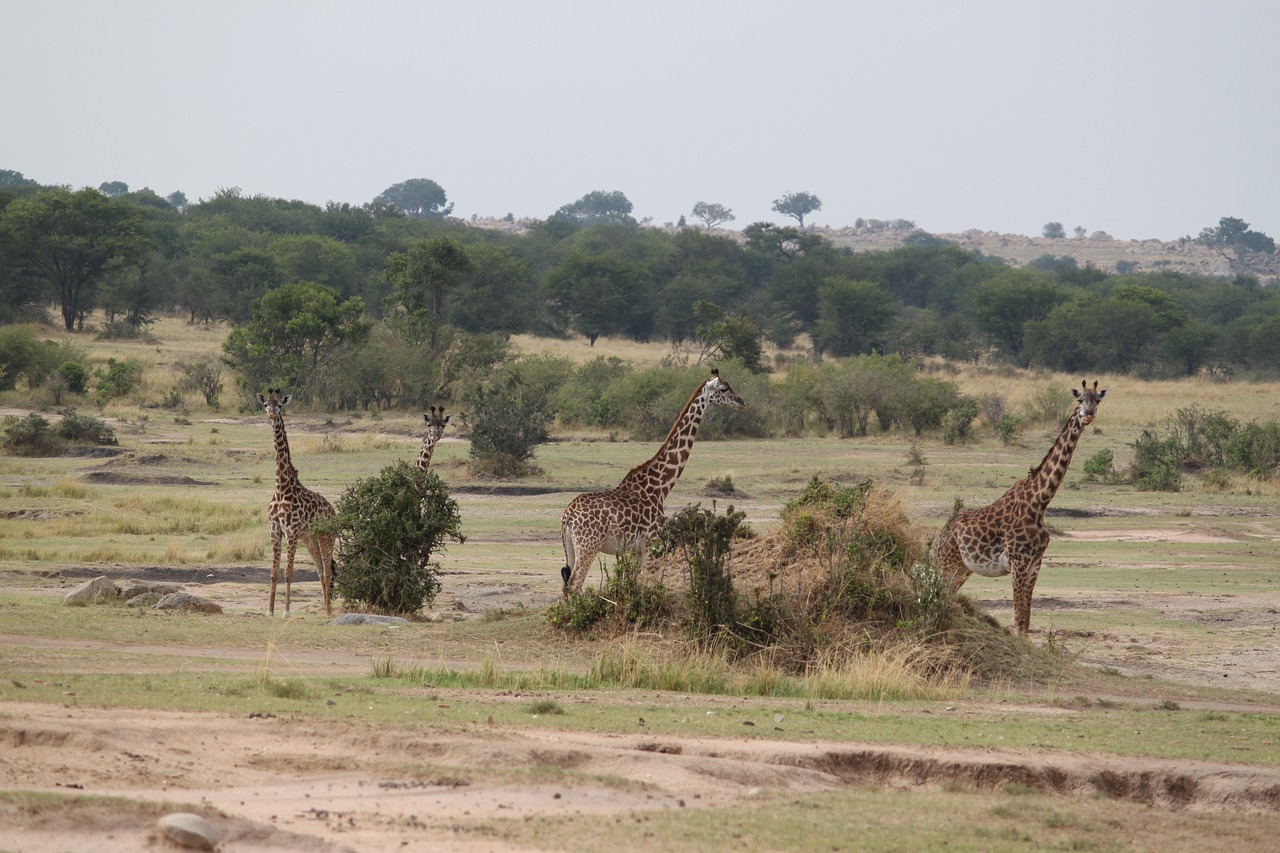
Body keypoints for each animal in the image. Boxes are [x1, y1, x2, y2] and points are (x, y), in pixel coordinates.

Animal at [257, 389, 337, 614]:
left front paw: (285, 612)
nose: (271, 414)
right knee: (320, 571)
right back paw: (325, 610)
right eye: (265, 404)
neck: (281, 487)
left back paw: (329, 612)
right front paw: (270, 611)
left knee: (328, 571)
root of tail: (333, 512)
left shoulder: (291, 531)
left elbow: (289, 572)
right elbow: (274, 573)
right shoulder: (275, 530)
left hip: (326, 537)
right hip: (310, 539)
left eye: (279, 405)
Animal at [563, 368, 747, 594]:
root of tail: (567, 516)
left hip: (572, 548)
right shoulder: (648, 544)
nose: (741, 402)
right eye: (723, 389)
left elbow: (627, 584)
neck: (659, 486)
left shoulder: (632, 550)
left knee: (568, 586)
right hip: (588, 545)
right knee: (574, 584)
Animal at [936, 376, 1105, 630]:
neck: (1039, 503)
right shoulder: (1018, 563)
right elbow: (1018, 619)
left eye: (1097, 400)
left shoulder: (1035, 564)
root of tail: (942, 534)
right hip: (947, 564)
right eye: (1080, 399)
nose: (1088, 415)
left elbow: (1026, 621)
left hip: (963, 568)